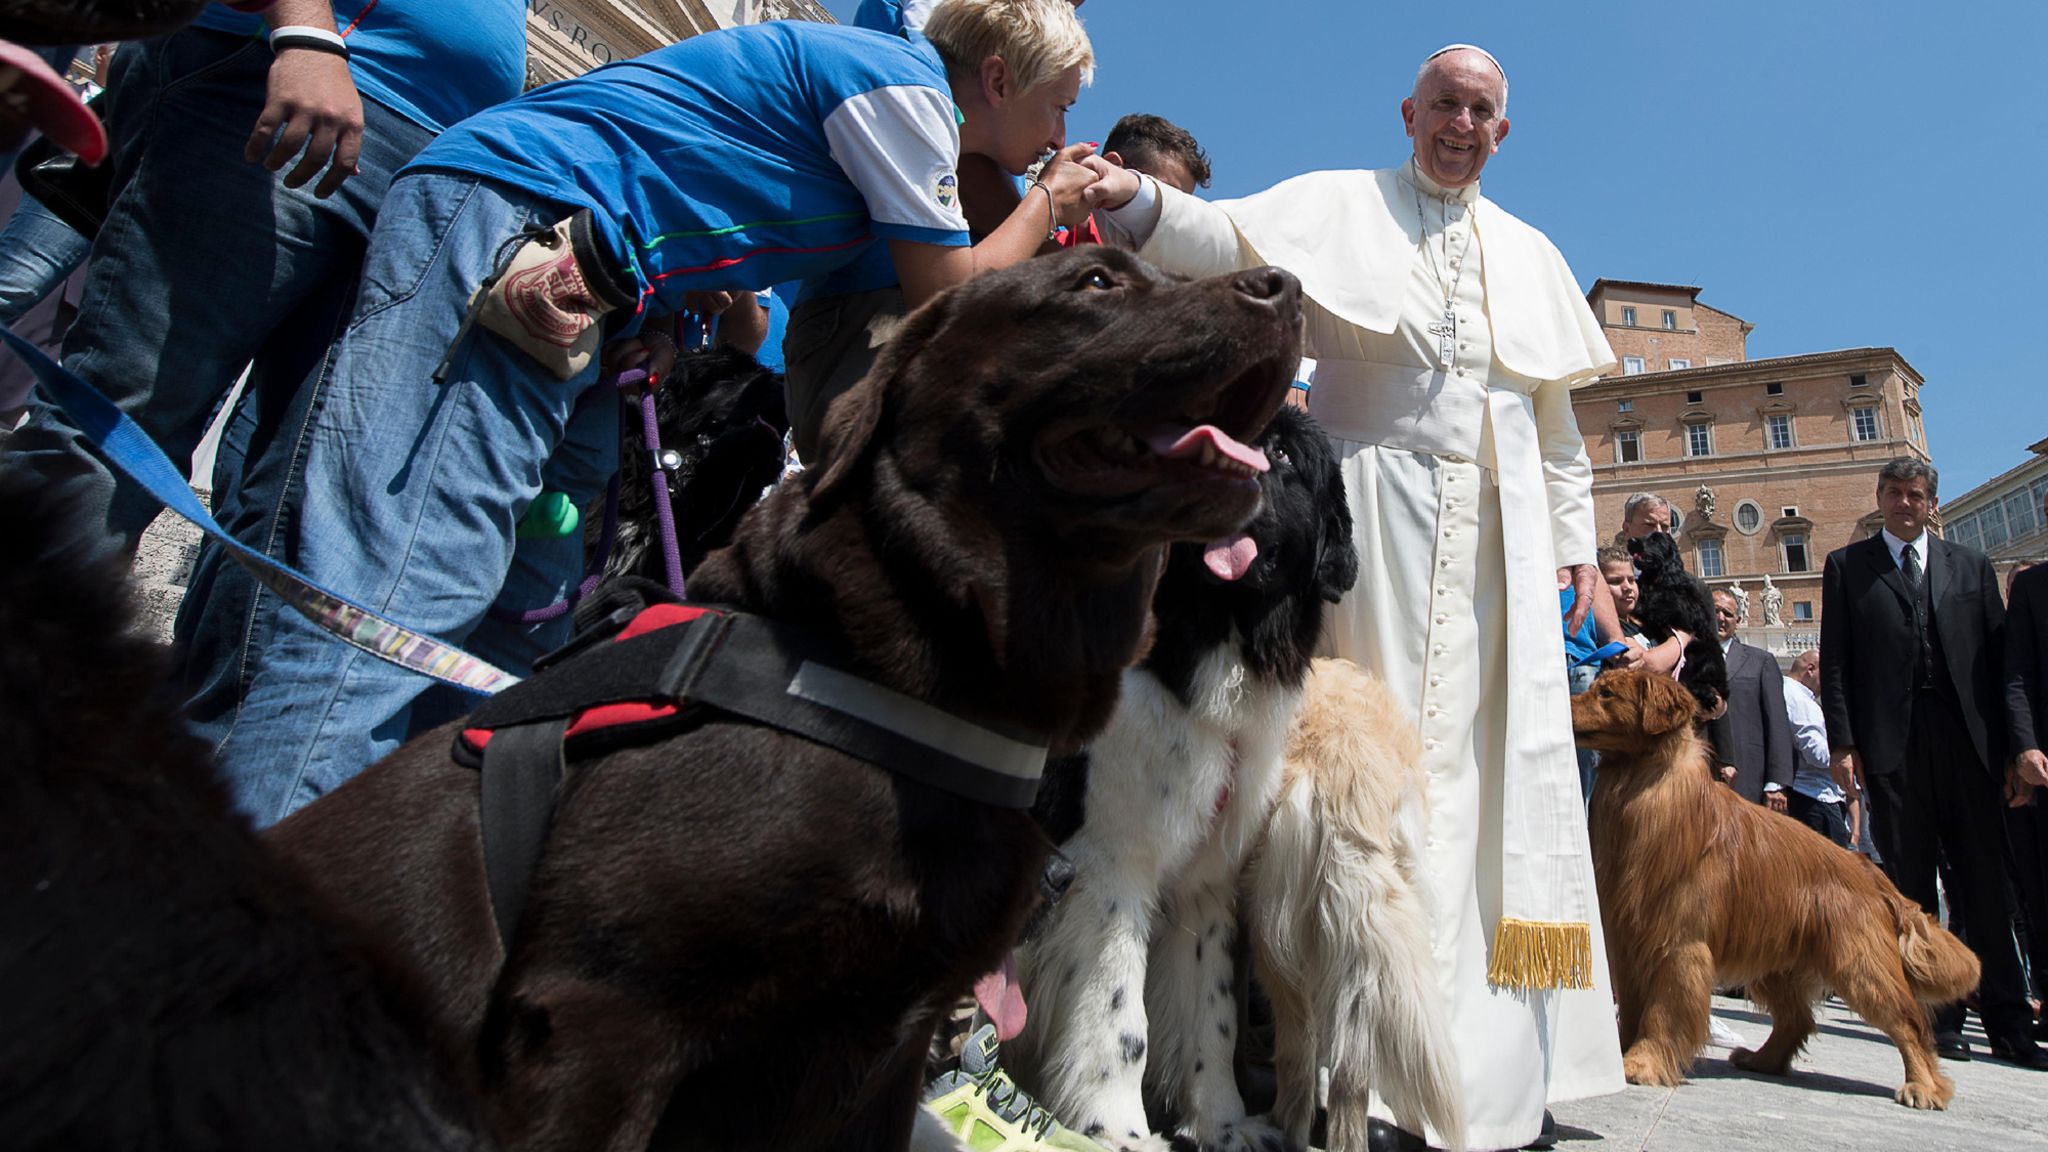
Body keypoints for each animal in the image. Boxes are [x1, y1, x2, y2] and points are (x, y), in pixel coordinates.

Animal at [1011, 405, 1359, 1147]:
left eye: (1282, 453)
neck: (1218, 636)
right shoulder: (1110, 870)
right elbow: (1121, 1019)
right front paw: (1116, 1128)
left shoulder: (1206, 881)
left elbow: (1212, 1016)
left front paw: (1223, 1125)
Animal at [1564, 668, 1982, 1106]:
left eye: (1606, 694)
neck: (1640, 785)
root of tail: (1870, 870)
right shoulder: (1628, 938)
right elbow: (1630, 1009)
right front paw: (1620, 1056)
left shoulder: (1678, 942)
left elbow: (1662, 1010)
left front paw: (1642, 1063)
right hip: (1779, 962)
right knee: (1797, 1020)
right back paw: (1761, 1060)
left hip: (1858, 964)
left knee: (1908, 1022)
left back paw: (1923, 1086)